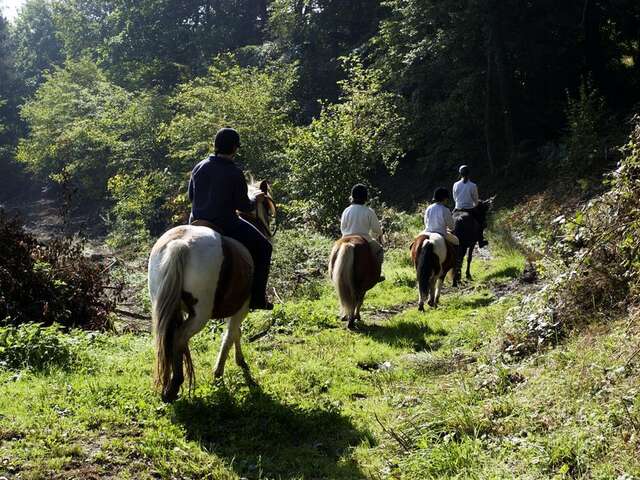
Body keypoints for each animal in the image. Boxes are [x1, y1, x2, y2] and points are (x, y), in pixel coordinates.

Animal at [149, 180, 276, 402]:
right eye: (267, 210)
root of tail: (181, 244)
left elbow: (235, 332)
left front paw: (238, 361)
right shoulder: (242, 306)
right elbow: (231, 333)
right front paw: (221, 370)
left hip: (167, 306)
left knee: (169, 339)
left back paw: (169, 385)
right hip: (201, 314)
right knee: (179, 338)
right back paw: (175, 386)